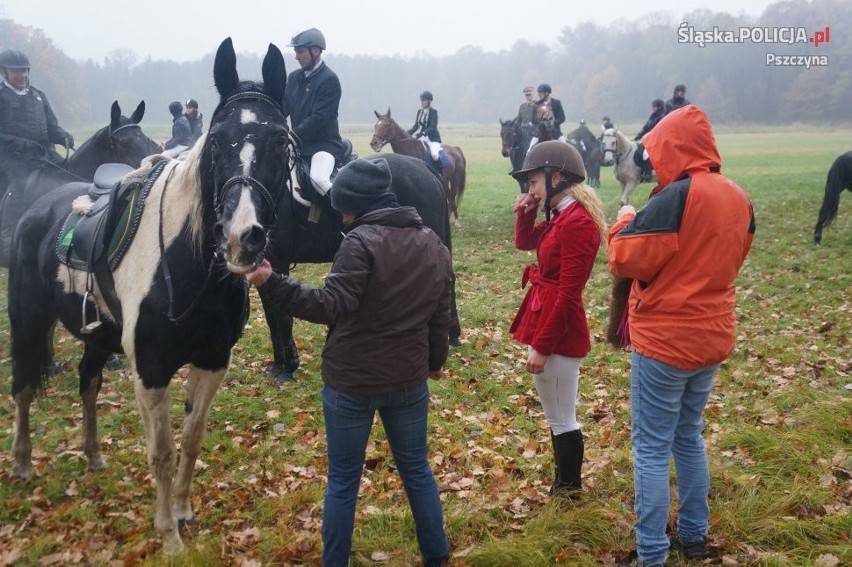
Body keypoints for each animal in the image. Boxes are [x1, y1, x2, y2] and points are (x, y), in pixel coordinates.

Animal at [260, 152, 460, 382]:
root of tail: (421, 165)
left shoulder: (279, 261)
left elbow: (283, 318)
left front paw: (289, 368)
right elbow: (271, 318)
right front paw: (277, 365)